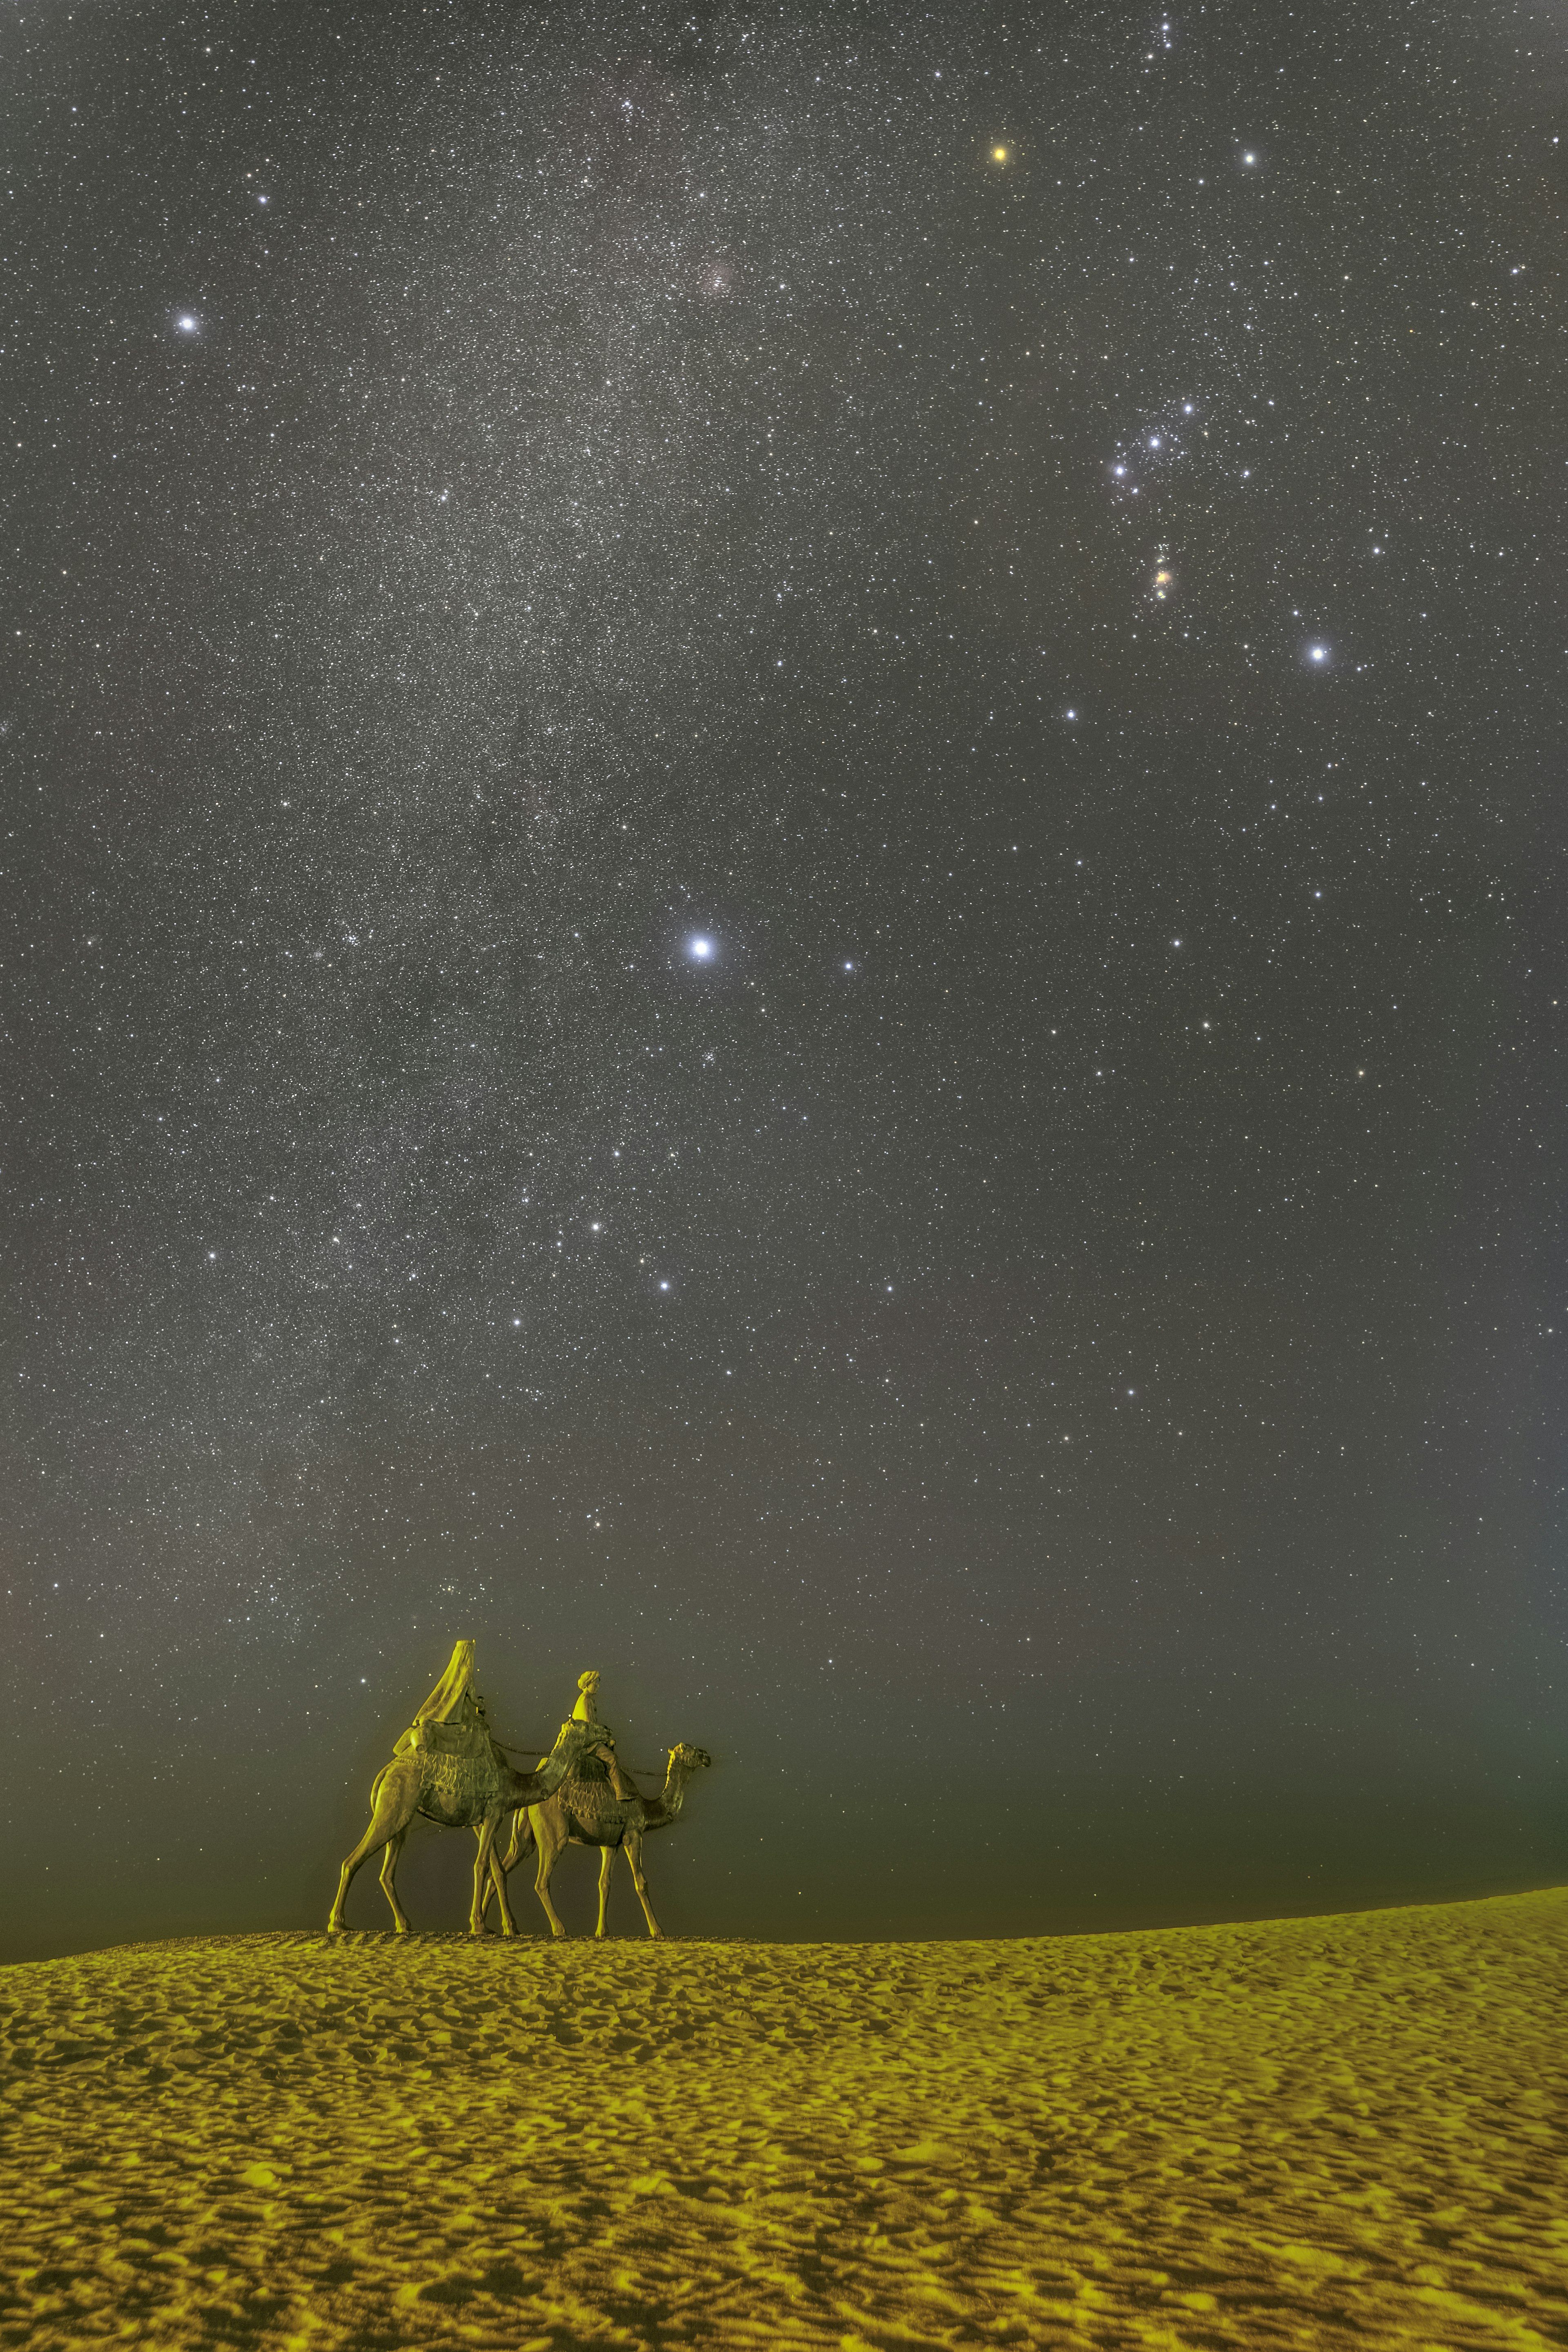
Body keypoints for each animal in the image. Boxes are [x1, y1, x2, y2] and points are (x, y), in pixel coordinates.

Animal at [329, 1703, 611, 1938]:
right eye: (585, 1726)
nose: (607, 1730)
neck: (516, 1782)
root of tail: (386, 1771)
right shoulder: (495, 1812)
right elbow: (481, 1865)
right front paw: (479, 1926)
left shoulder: (484, 1820)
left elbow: (497, 1871)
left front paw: (510, 1928)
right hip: (394, 1808)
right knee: (351, 1861)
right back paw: (338, 1924)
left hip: (402, 1819)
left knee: (386, 1873)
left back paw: (405, 1926)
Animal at [484, 1740, 719, 1938]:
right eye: (688, 1749)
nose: (707, 1756)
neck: (647, 1807)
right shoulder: (633, 1834)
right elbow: (641, 1882)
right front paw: (658, 1931)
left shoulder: (610, 1844)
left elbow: (604, 1883)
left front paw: (602, 1932)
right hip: (554, 1834)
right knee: (541, 1881)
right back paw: (559, 1929)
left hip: (526, 1838)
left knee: (500, 1872)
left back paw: (495, 1927)